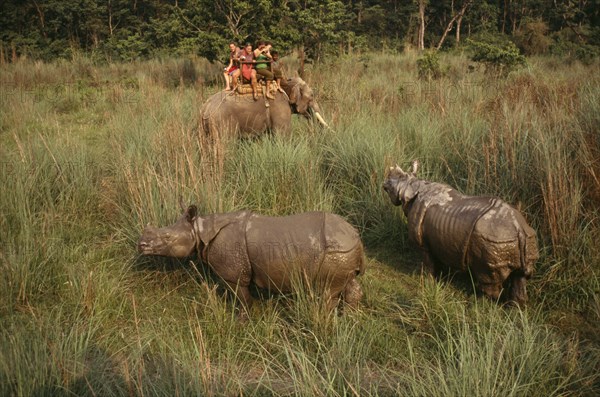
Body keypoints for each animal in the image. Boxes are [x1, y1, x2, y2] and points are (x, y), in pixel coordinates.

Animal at [139, 204, 366, 316]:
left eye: (167, 237)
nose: (141, 244)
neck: (200, 230)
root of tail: (355, 235)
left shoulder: (234, 273)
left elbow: (242, 299)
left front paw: (242, 321)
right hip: (343, 251)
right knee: (348, 284)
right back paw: (350, 319)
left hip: (336, 251)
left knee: (328, 291)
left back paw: (325, 319)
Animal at [384, 159, 540, 304]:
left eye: (391, 183)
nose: (383, 183)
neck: (411, 186)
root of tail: (518, 228)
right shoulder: (438, 239)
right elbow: (439, 259)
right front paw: (441, 278)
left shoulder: (424, 244)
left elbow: (428, 262)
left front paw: (427, 279)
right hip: (527, 238)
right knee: (521, 276)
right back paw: (515, 307)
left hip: (493, 240)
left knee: (488, 279)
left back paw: (479, 302)